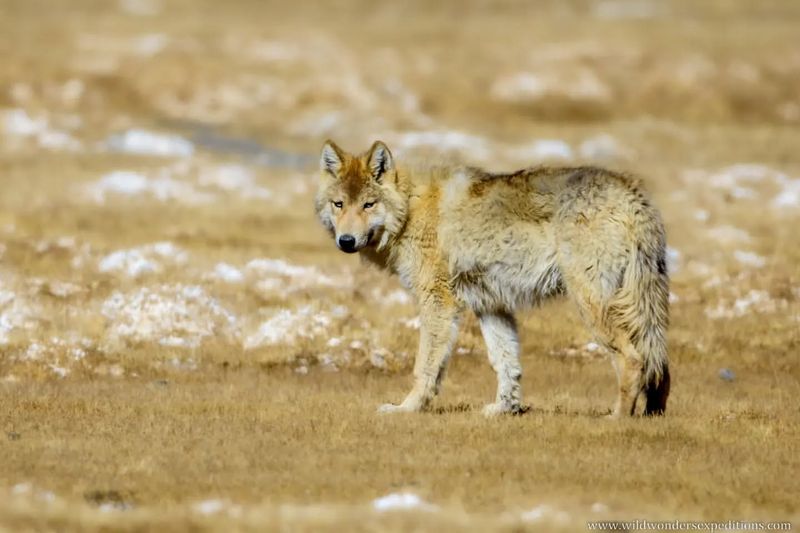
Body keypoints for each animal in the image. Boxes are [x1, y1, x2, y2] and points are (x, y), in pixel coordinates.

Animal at [314, 139, 668, 418]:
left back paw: (617, 417)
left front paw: (407, 408)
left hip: (591, 305)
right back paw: (653, 415)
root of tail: (632, 193)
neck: (411, 210)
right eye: (339, 204)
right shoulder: (491, 306)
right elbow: (505, 363)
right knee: (660, 365)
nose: (346, 241)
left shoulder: (438, 303)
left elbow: (424, 366)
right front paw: (504, 410)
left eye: (368, 205)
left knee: (633, 359)